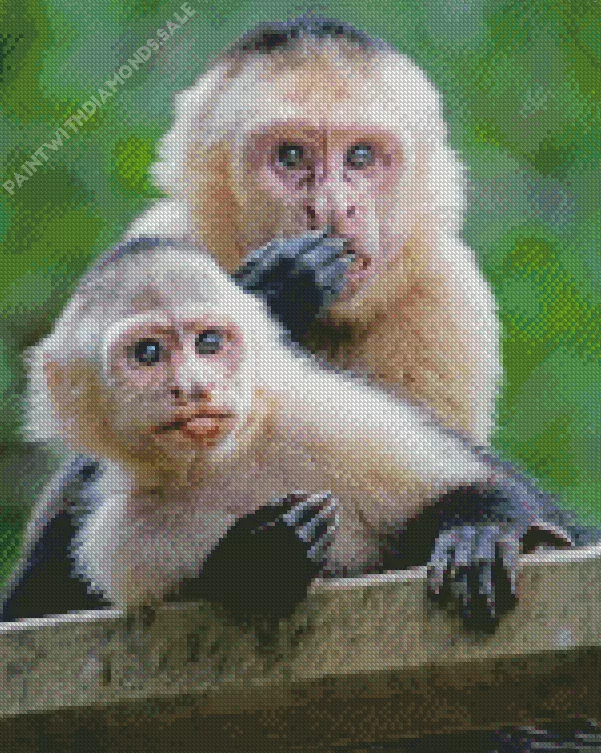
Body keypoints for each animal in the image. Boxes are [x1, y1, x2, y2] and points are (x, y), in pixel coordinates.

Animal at [3, 238, 586, 633]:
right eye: (148, 353)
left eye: (209, 342)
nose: (192, 387)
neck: (223, 462)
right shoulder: (122, 536)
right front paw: (263, 555)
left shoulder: (327, 415)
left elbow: (479, 486)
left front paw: (478, 532)